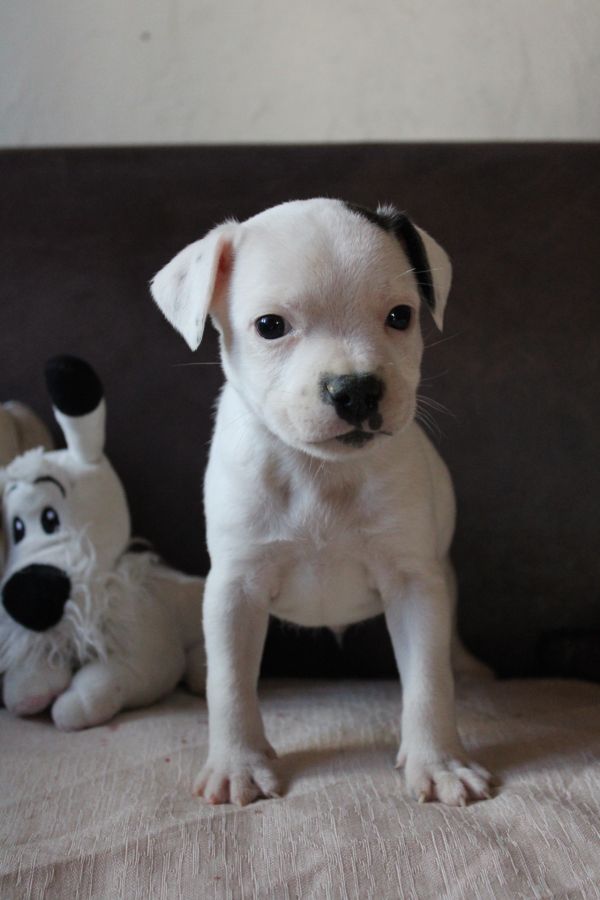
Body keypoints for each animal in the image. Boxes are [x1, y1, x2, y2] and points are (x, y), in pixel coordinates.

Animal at [150, 198, 493, 807]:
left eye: (400, 316)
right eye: (270, 327)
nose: (355, 389)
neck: (321, 473)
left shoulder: (415, 587)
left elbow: (429, 680)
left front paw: (439, 761)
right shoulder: (234, 589)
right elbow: (229, 683)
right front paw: (238, 762)